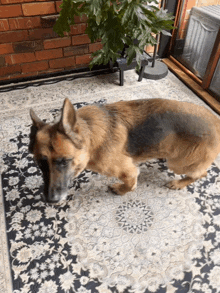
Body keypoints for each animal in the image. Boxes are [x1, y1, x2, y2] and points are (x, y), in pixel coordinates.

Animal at [29, 98, 220, 203]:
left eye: (64, 161)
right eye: (40, 163)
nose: (50, 200)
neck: (90, 135)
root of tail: (217, 121)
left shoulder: (128, 171)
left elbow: (130, 184)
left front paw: (121, 190)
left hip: (178, 164)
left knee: (201, 173)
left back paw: (179, 183)